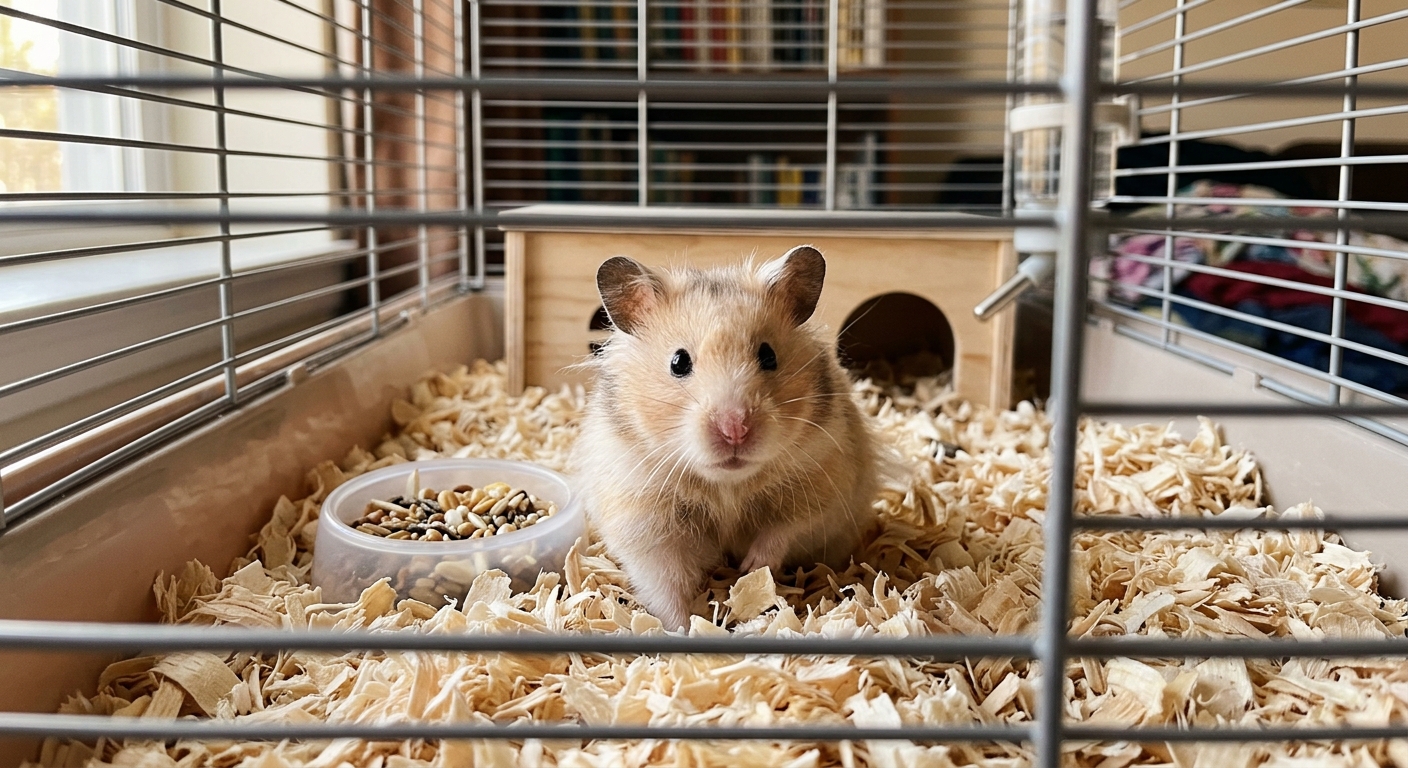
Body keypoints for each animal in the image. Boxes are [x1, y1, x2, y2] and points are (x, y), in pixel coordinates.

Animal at [571, 245, 880, 631]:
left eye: (768, 355)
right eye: (678, 362)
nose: (735, 429)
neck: (726, 486)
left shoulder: (823, 488)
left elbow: (784, 530)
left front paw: (751, 569)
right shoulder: (644, 522)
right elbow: (665, 585)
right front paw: (684, 628)